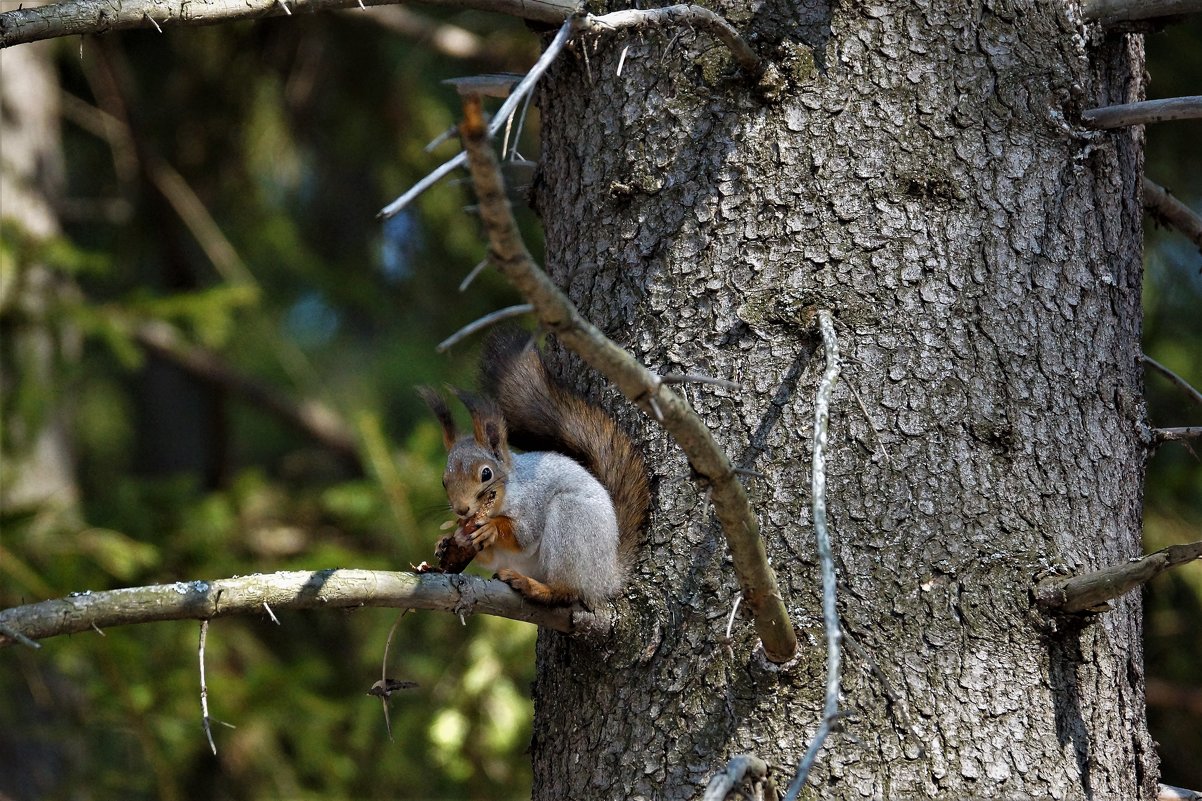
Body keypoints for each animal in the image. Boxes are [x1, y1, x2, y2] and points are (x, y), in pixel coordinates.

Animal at [420, 327, 649, 601]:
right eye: (444, 481)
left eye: (486, 474)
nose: (462, 510)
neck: (505, 494)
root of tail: (607, 577)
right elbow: (487, 556)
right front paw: (446, 540)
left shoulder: (532, 502)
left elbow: (524, 535)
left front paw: (492, 528)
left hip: (571, 522)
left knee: (567, 590)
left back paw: (535, 587)